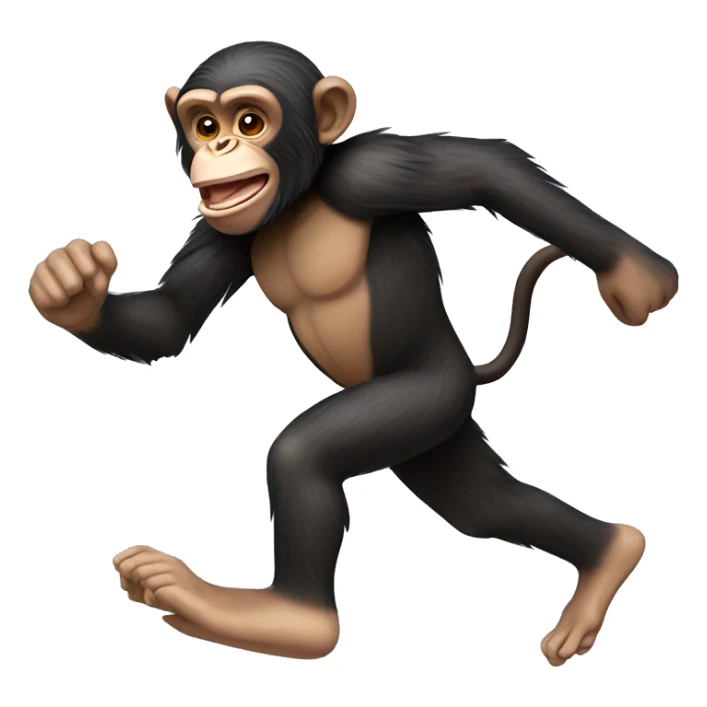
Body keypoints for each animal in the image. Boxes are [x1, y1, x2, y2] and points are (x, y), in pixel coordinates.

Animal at [29, 42, 678, 663]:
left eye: (248, 120)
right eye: (204, 126)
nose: (221, 147)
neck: (301, 199)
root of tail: (464, 367)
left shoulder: (370, 174)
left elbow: (484, 170)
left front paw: (639, 275)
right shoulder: (225, 231)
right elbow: (172, 318)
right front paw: (72, 289)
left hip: (422, 396)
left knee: (308, 458)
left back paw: (283, 620)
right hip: (432, 433)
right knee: (481, 505)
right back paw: (610, 555)